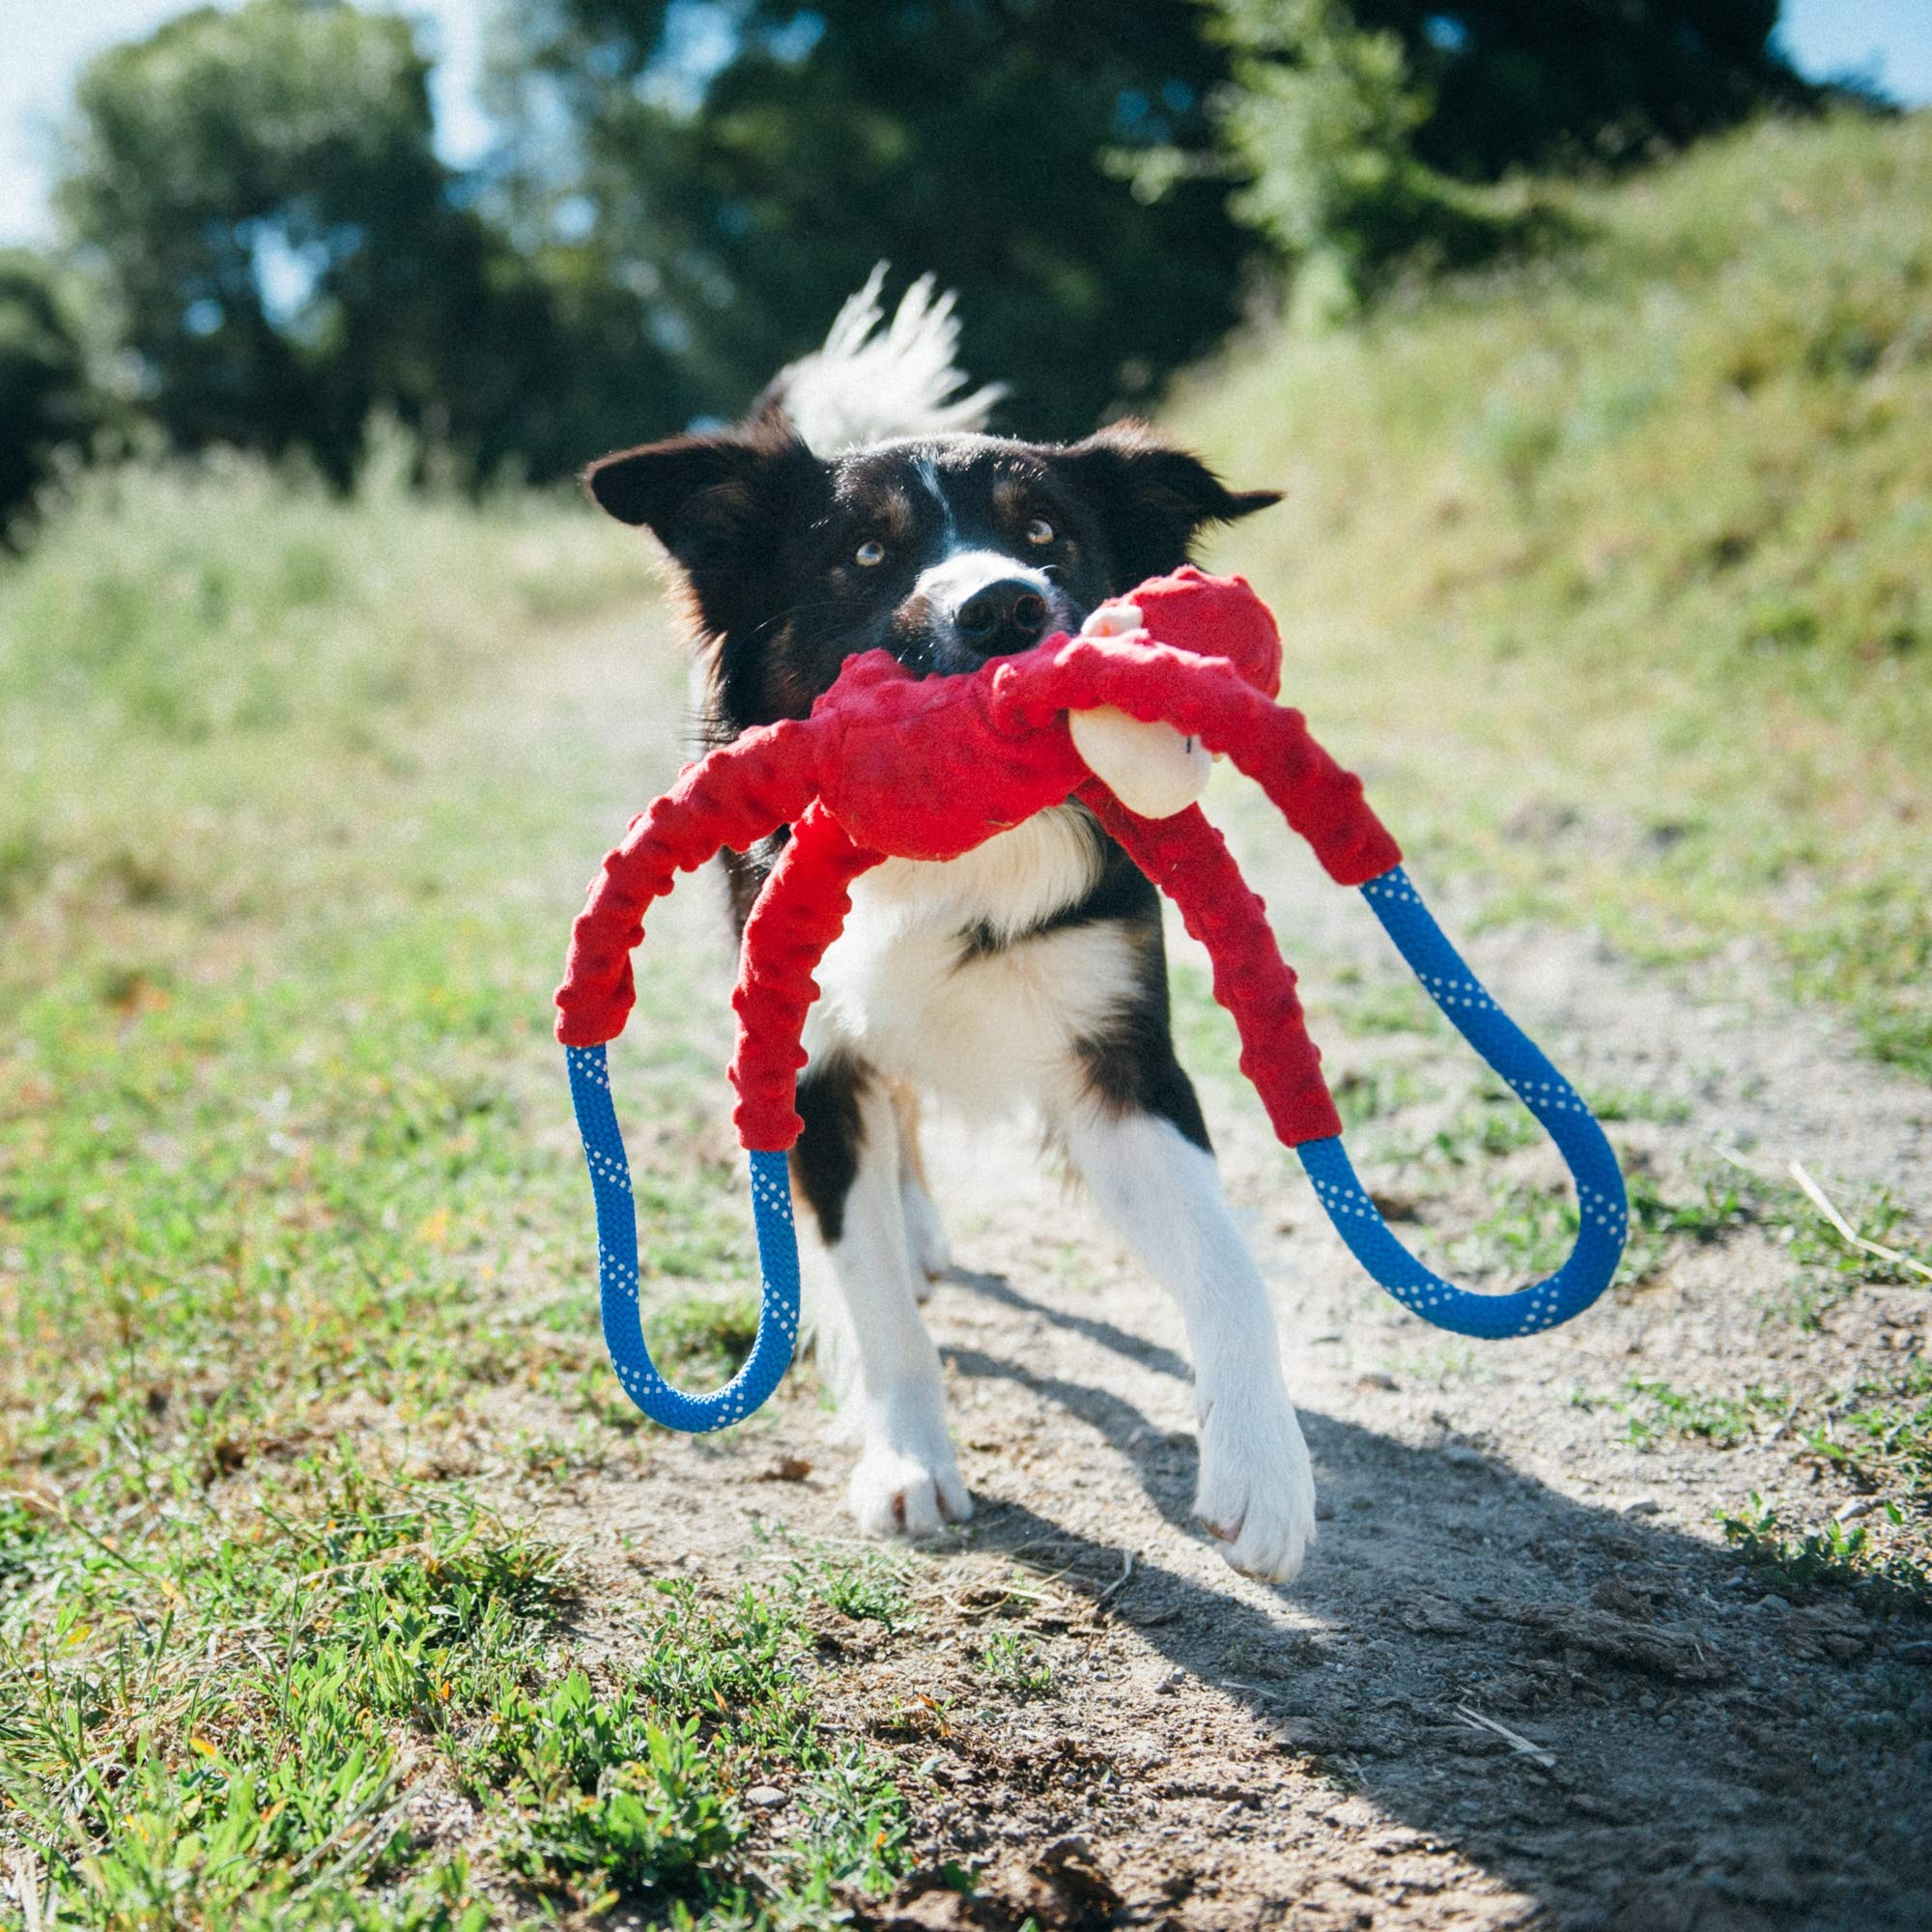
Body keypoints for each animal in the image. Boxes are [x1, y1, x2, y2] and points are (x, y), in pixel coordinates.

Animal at [583, 265, 1314, 1577]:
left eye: (1043, 534)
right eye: (866, 551)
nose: (1004, 609)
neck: (958, 848)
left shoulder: (1120, 1060)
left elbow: (1228, 1261)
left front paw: (1264, 1474)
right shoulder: (812, 1051)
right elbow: (868, 1288)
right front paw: (907, 1460)